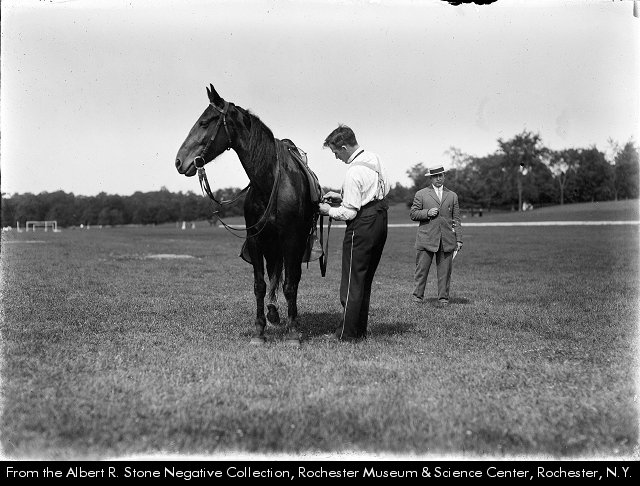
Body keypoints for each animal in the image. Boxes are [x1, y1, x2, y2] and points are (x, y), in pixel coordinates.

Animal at [175, 84, 320, 346]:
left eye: (204, 122)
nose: (180, 161)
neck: (269, 182)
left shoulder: (291, 240)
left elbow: (290, 285)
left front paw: (294, 332)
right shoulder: (256, 240)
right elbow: (260, 285)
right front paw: (259, 330)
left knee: (290, 278)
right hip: (272, 246)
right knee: (274, 273)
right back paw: (273, 312)